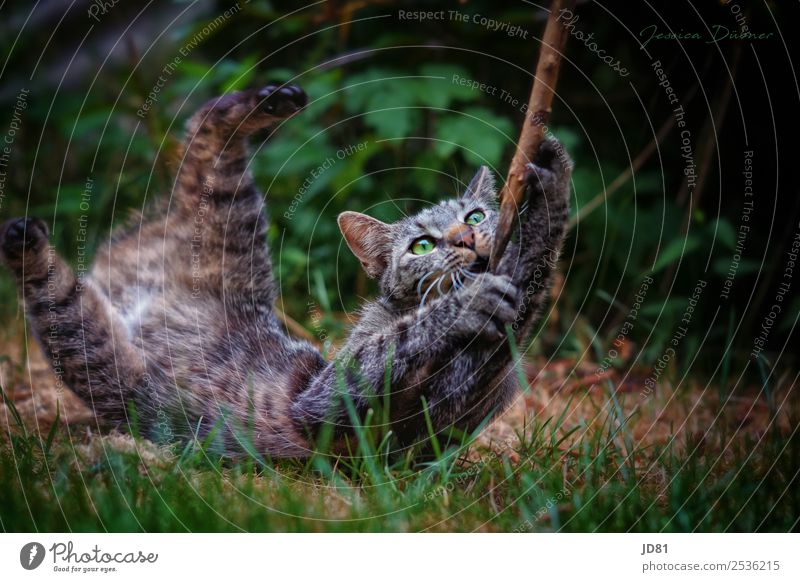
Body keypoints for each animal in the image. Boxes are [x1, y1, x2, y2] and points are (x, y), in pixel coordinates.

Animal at [0, 82, 568, 458]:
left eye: (474, 217)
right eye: (422, 244)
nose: (467, 239)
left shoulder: (449, 409)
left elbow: (522, 289)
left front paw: (553, 189)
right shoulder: (325, 397)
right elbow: (402, 339)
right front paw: (465, 302)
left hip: (209, 241)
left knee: (202, 142)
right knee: (203, 127)